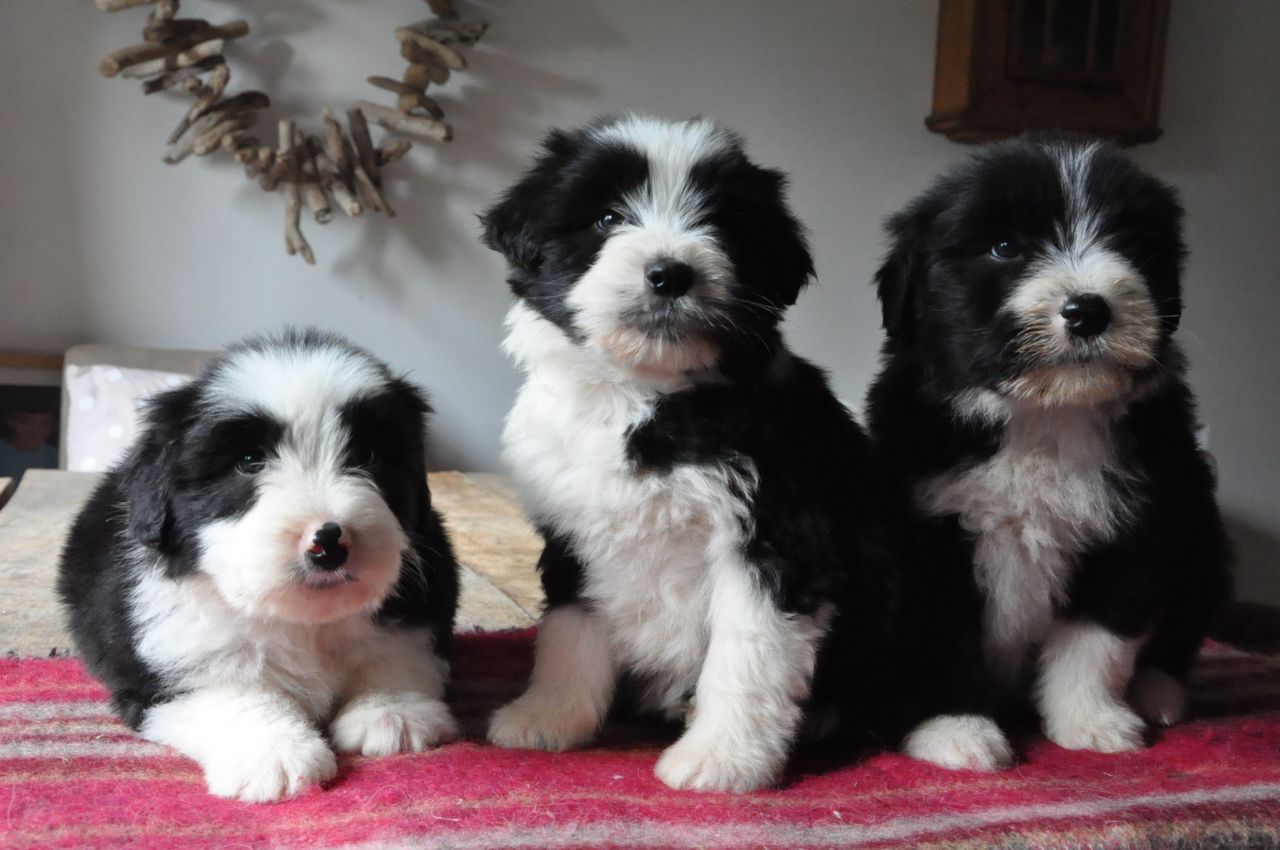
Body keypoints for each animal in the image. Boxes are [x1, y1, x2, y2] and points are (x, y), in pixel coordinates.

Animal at [61, 327, 460, 798]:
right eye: (249, 461)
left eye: (368, 457)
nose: (328, 543)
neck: (305, 622)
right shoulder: (165, 667)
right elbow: (231, 694)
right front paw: (275, 751)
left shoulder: (423, 602)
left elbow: (397, 655)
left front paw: (392, 712)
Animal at [478, 116, 911, 793]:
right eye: (606, 217)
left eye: (721, 224)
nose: (670, 273)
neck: (641, 394)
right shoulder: (573, 530)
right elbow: (568, 630)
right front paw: (549, 717)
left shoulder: (776, 537)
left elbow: (746, 653)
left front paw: (723, 761)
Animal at [865, 134, 1233, 762]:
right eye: (1005, 246)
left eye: (1130, 244)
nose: (1088, 310)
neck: (1043, 416)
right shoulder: (929, 534)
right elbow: (941, 638)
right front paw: (953, 728)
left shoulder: (1136, 524)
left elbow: (1096, 638)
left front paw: (1090, 722)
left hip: (1203, 540)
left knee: (1178, 634)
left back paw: (1157, 692)